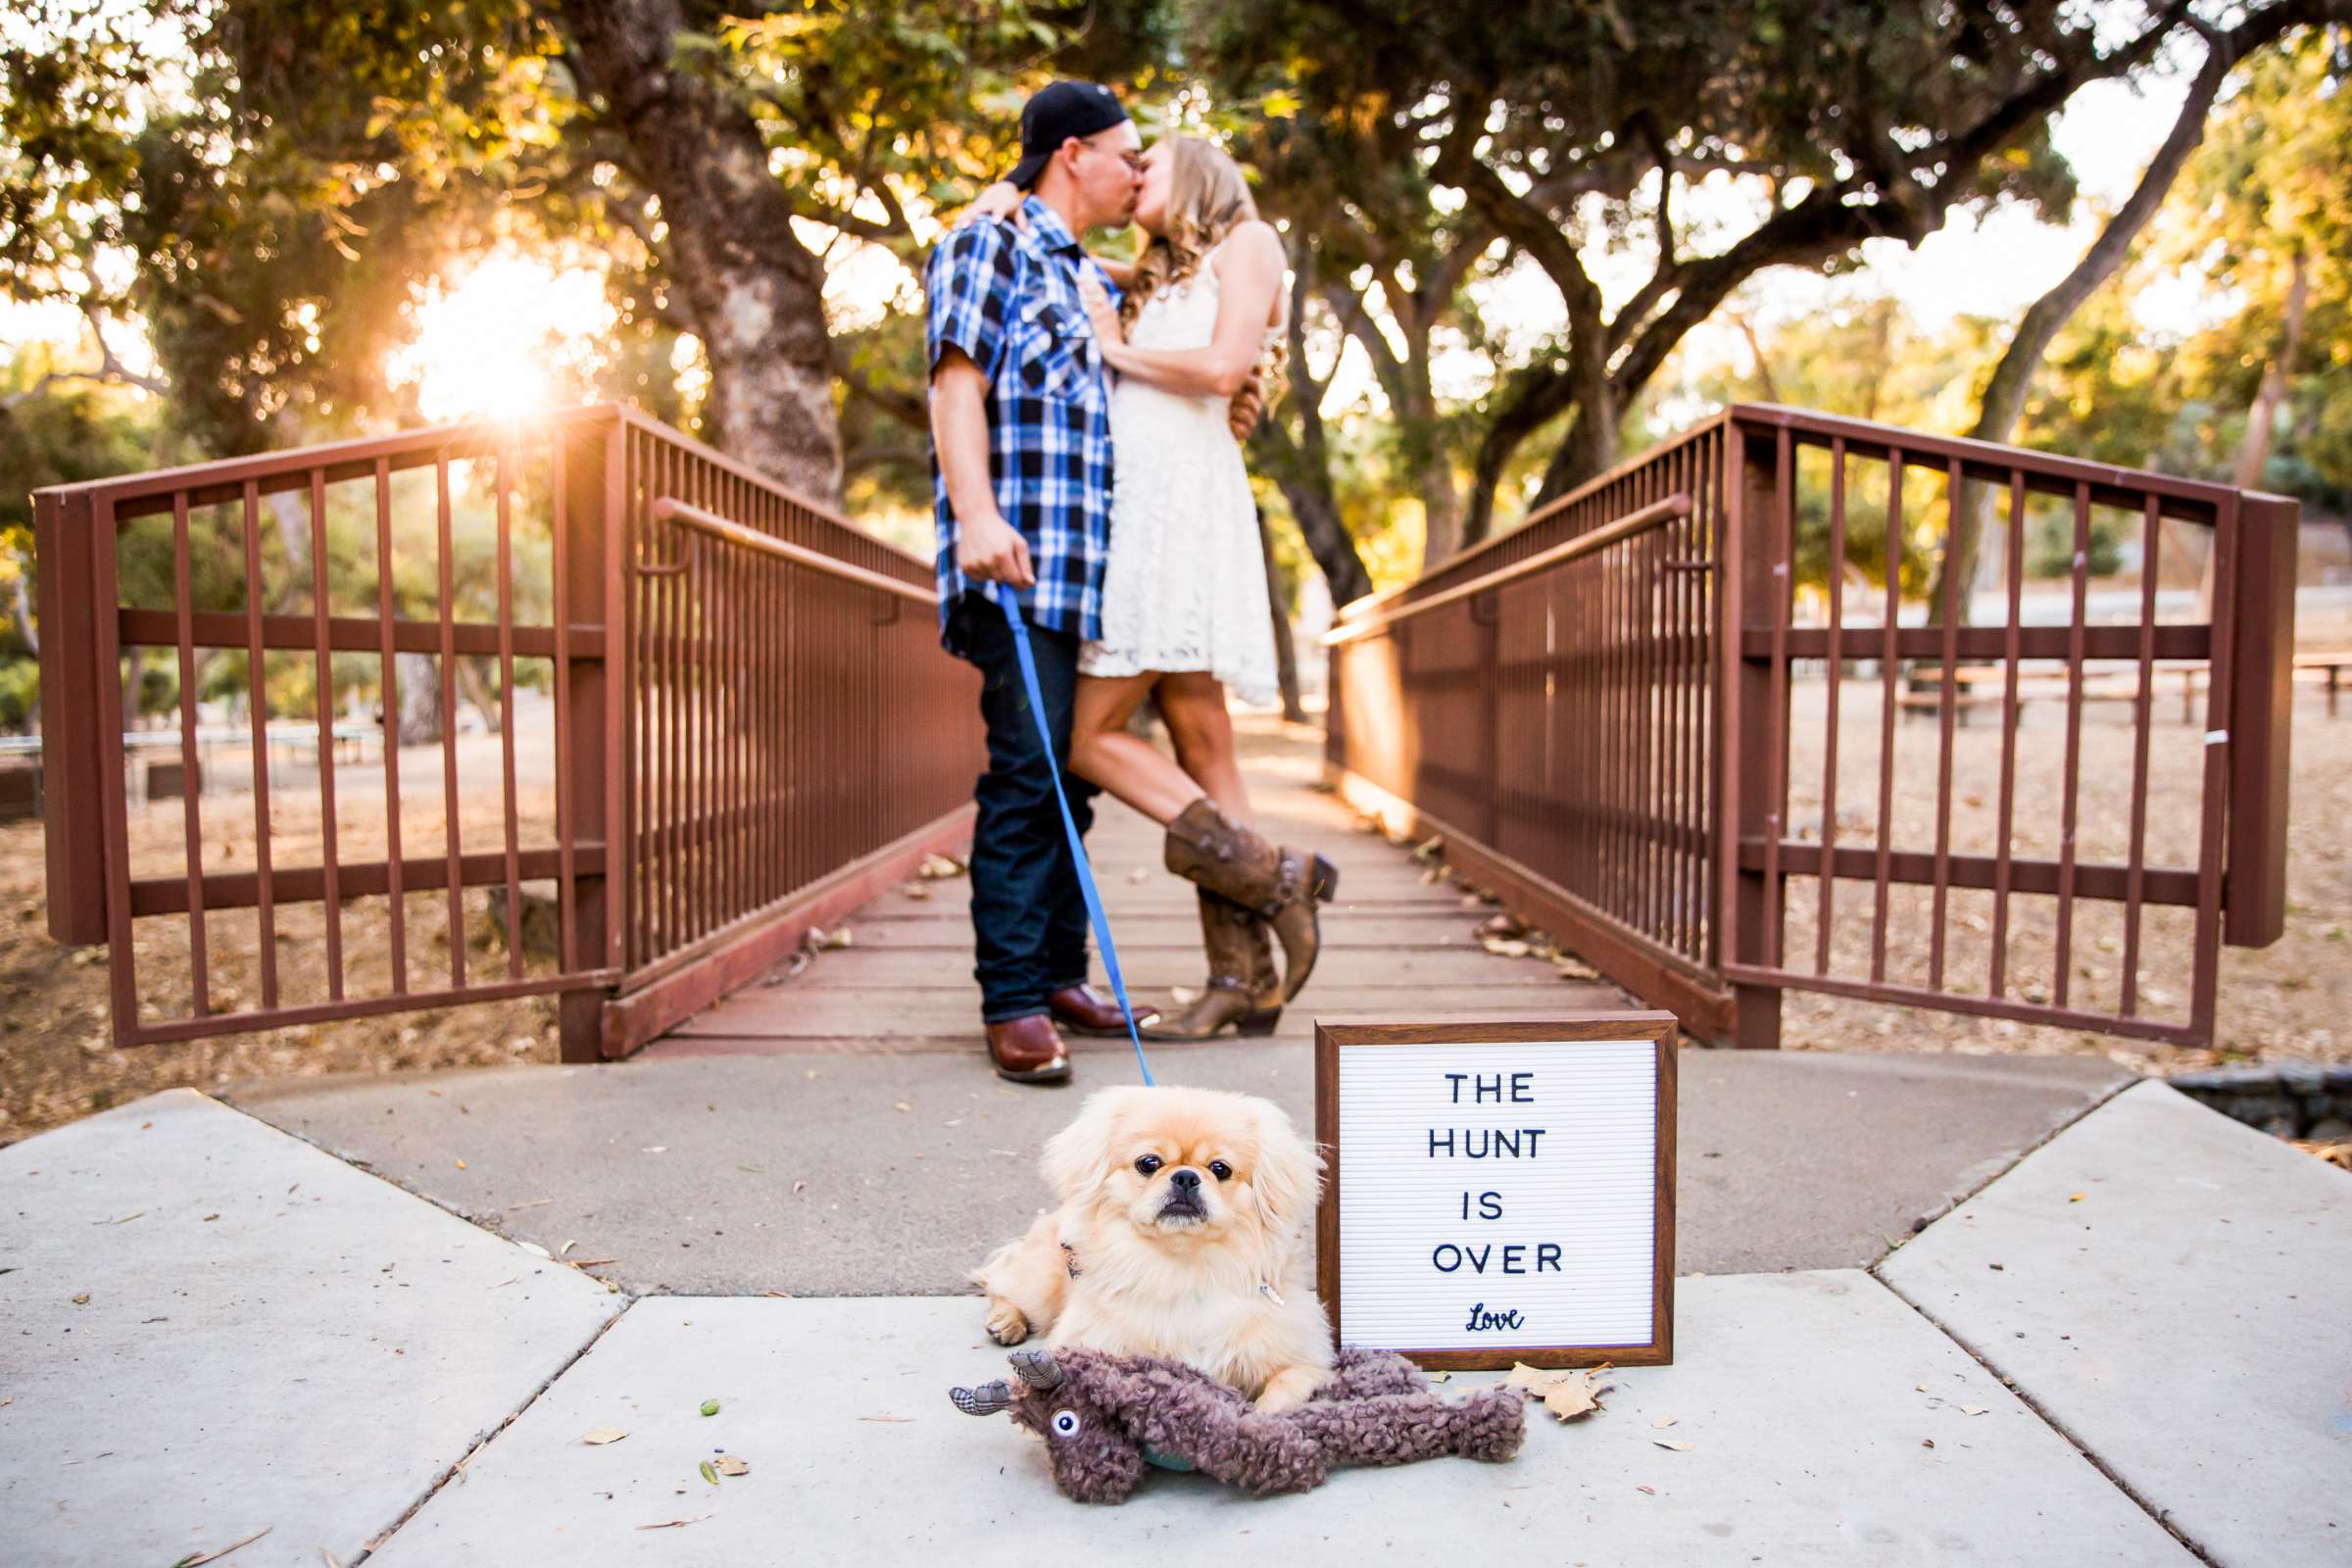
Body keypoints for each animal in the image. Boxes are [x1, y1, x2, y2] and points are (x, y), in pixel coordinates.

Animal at [973, 1086, 1345, 1419]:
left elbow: (1282, 1390)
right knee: (1001, 1284)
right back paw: (1006, 1321)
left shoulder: (1303, 1360)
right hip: (1040, 1285)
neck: (1185, 1270)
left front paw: (1262, 1421)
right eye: (1148, 1163)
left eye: (1220, 1169)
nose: (1186, 1177)